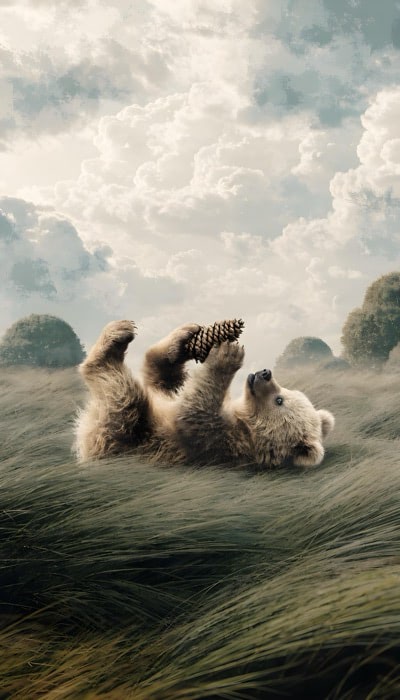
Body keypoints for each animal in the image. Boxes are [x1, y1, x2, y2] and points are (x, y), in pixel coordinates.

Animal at [75, 319, 335, 468]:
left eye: (279, 400)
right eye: (288, 391)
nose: (264, 373)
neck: (244, 422)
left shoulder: (215, 441)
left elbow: (194, 409)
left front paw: (227, 354)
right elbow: (168, 380)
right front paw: (181, 341)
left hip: (123, 436)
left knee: (121, 396)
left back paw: (111, 344)